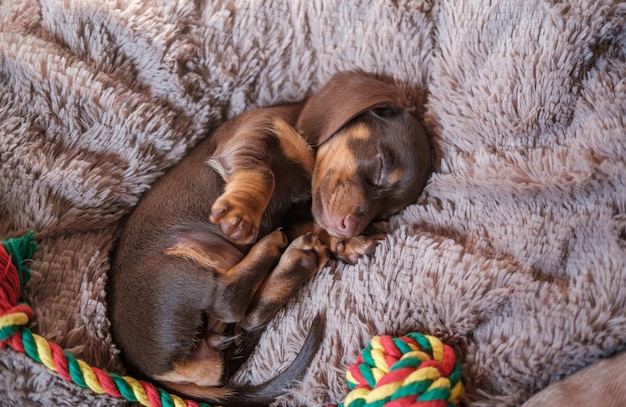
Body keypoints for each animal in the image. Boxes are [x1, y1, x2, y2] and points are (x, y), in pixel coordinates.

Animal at [107, 71, 428, 406]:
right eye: (380, 167)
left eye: (385, 213)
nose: (350, 227)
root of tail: (151, 373)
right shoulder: (252, 136)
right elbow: (264, 174)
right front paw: (242, 211)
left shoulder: (294, 212)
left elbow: (312, 220)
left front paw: (349, 244)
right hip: (173, 268)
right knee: (226, 299)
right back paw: (277, 248)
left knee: (243, 312)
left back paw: (296, 260)